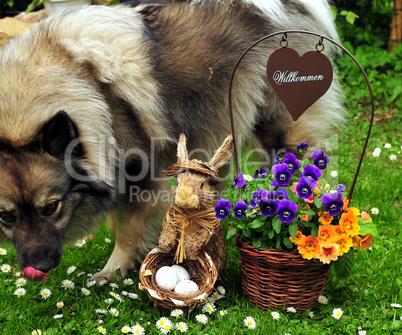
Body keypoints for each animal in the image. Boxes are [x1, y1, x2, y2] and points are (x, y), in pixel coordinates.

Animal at [0, 0, 346, 284]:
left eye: (51, 207)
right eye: (6, 216)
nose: (37, 269)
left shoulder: (136, 173)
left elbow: (127, 229)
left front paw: (113, 271)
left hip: (275, 130)